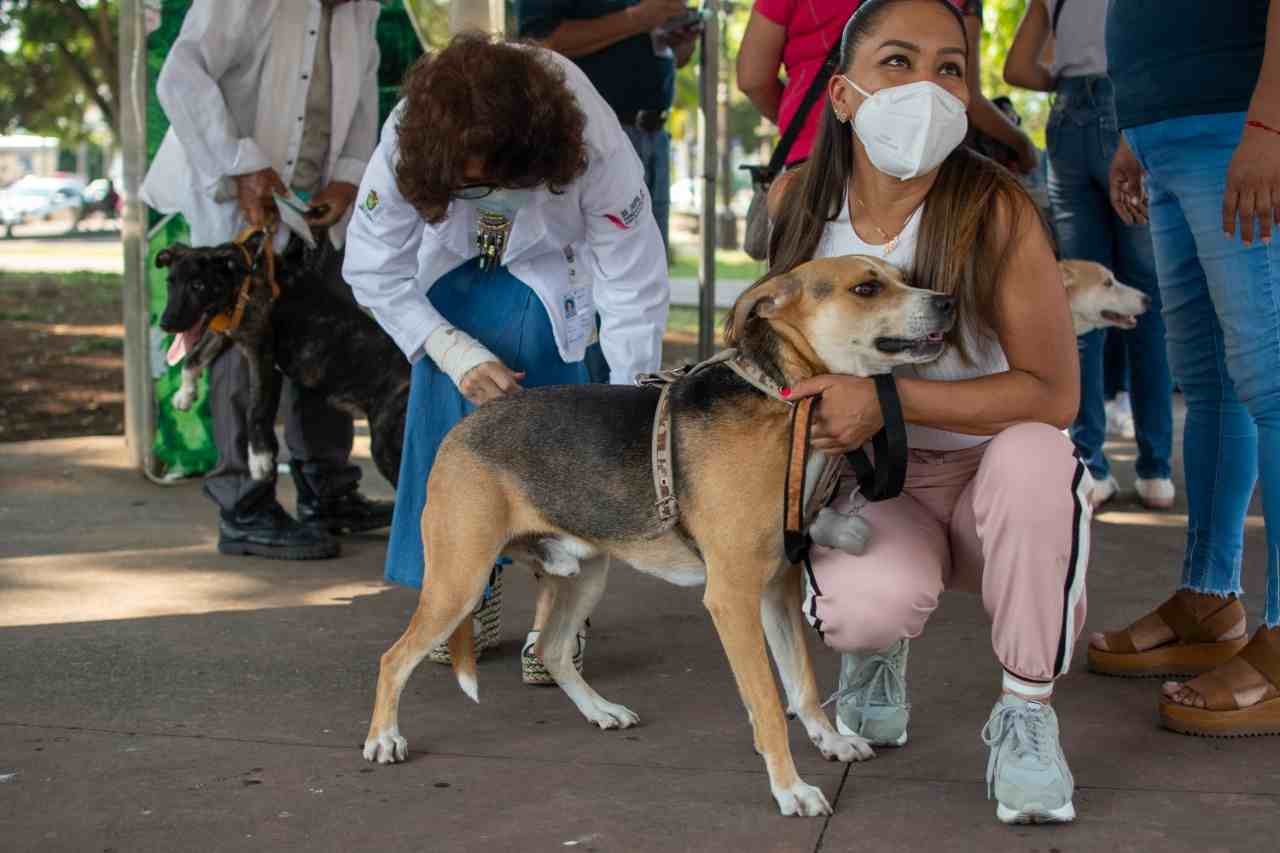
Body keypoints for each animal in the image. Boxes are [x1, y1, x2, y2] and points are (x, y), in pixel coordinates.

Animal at [158, 233, 409, 484]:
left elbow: (255, 411)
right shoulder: (225, 332)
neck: (243, 282)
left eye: (198, 285)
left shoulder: (261, 356)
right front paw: (185, 394)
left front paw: (259, 459)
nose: (165, 324)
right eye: (169, 282)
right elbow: (193, 358)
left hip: (386, 444)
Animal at [358, 253, 952, 819]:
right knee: (393, 658)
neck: (783, 398)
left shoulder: (777, 589)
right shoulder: (733, 597)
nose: (947, 302)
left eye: (902, 276)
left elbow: (801, 682)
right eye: (866, 288)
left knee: (553, 650)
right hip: (459, 582)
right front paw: (791, 790)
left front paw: (829, 741)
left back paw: (600, 710)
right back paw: (384, 738)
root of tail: (459, 431)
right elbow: (767, 703)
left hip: (583, 575)